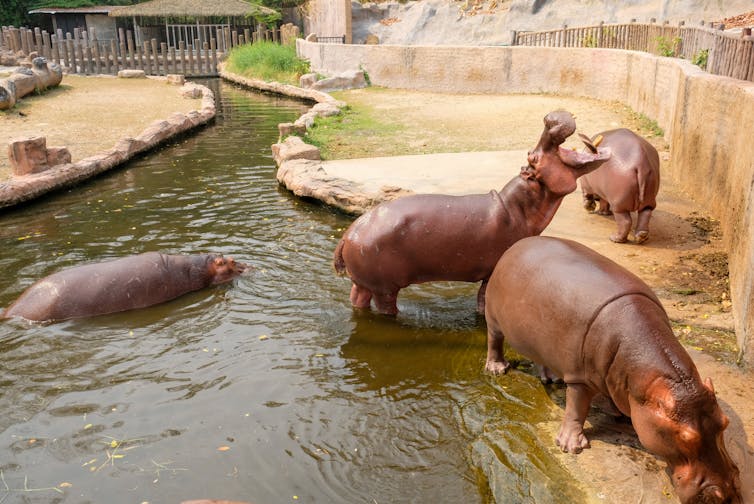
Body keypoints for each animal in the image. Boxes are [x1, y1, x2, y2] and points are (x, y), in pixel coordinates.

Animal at [333, 110, 611, 315]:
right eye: (533, 157)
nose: (549, 118)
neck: (518, 207)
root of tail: (348, 233)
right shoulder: (492, 271)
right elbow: (484, 300)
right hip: (386, 288)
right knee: (384, 305)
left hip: (364, 282)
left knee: (357, 297)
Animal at [484, 236, 742, 504]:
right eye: (685, 436)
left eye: (724, 423)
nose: (727, 494)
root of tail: (517, 244)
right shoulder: (579, 378)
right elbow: (576, 408)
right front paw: (571, 446)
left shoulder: (617, 377)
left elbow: (613, 395)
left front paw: (623, 417)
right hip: (493, 318)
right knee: (494, 341)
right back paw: (497, 369)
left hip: (540, 339)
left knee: (540, 357)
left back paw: (551, 378)